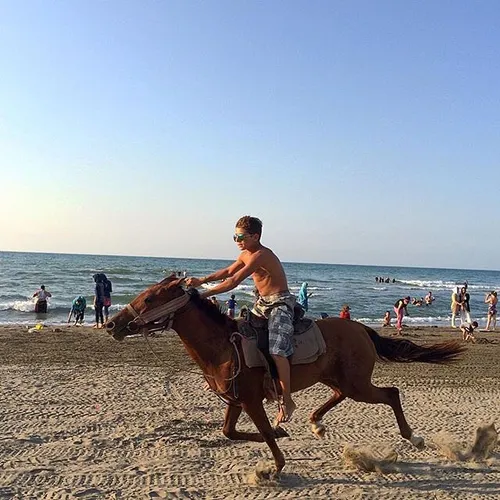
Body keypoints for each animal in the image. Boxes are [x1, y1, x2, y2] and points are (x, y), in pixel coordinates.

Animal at [105, 276, 464, 478]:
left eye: (149, 299)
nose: (111, 324)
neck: (222, 345)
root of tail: (361, 328)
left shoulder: (251, 401)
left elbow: (262, 432)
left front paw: (273, 467)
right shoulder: (236, 400)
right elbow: (229, 432)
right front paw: (281, 433)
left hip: (357, 383)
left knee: (391, 393)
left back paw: (413, 437)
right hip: (336, 379)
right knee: (342, 396)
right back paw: (316, 422)